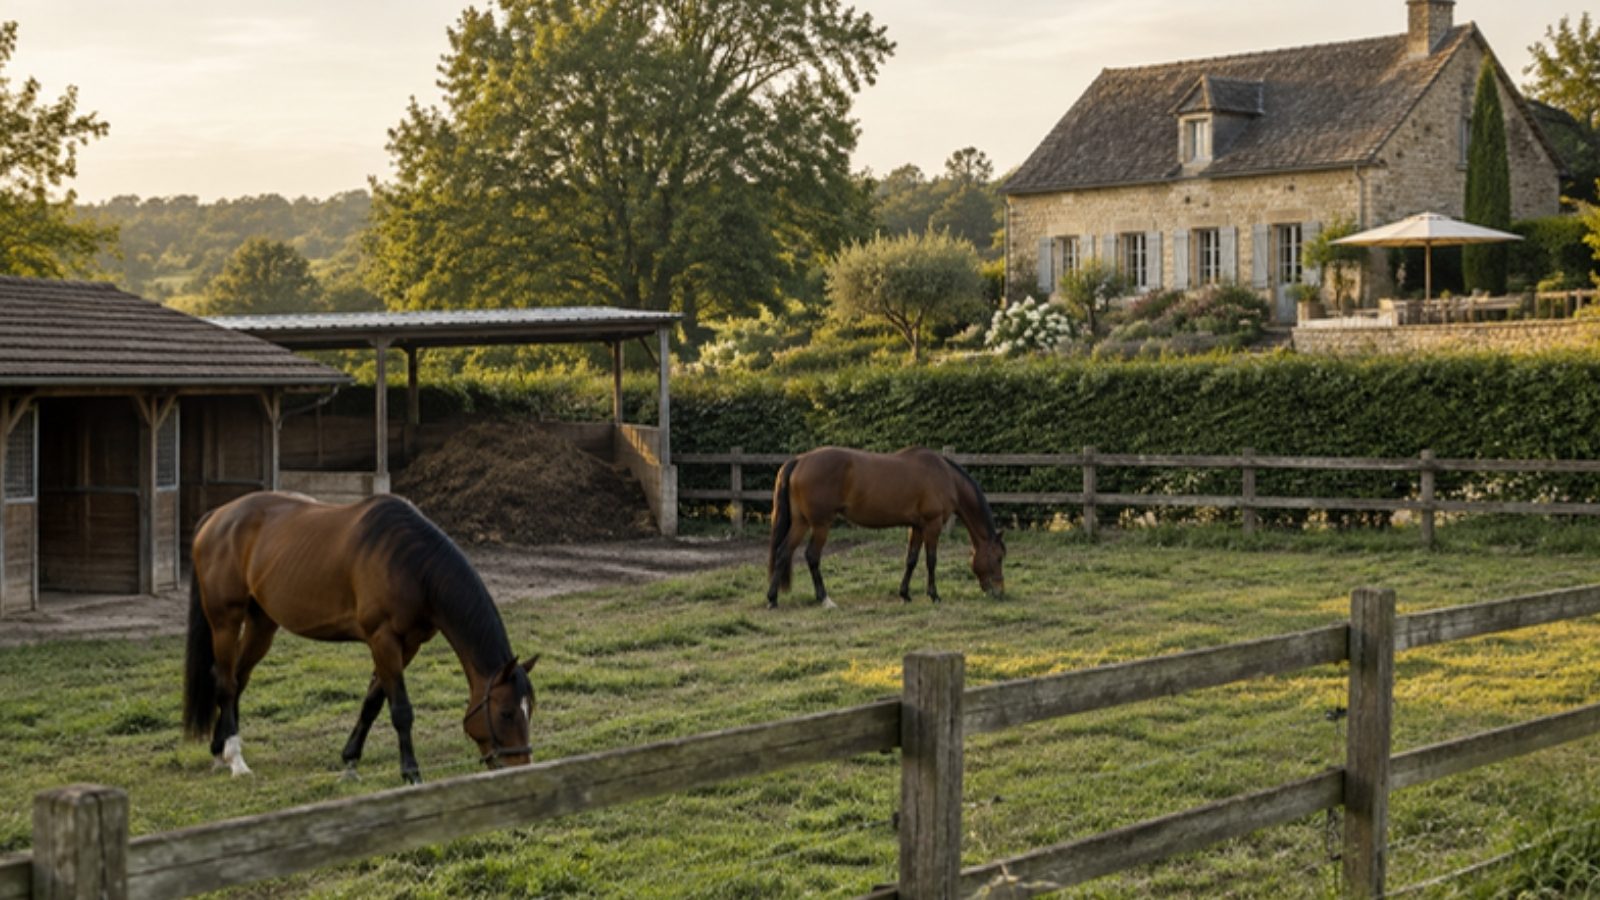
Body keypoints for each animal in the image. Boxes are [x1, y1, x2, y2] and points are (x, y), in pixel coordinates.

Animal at [183, 491, 538, 785]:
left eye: (529, 710)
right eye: (506, 713)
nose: (522, 767)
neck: (411, 564)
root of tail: (215, 517)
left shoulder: (407, 644)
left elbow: (373, 701)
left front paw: (350, 761)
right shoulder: (383, 638)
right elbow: (400, 709)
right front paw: (411, 772)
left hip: (261, 625)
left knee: (238, 678)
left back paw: (219, 748)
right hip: (225, 621)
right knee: (226, 683)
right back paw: (235, 759)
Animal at [766, 447, 1005, 608]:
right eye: (999, 558)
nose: (999, 592)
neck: (946, 476)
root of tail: (799, 460)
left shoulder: (917, 527)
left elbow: (911, 560)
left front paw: (905, 594)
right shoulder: (932, 524)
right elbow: (931, 560)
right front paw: (934, 595)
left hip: (801, 522)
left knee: (783, 552)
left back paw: (773, 598)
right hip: (821, 524)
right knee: (812, 556)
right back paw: (824, 598)